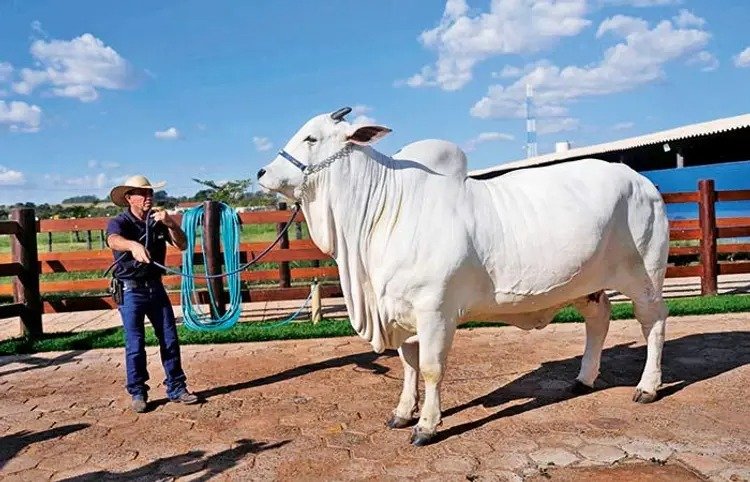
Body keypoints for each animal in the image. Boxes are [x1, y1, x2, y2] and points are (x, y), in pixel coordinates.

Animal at [257, 107, 669, 446]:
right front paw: (402, 413)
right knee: (599, 320)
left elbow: (431, 368)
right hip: (589, 286)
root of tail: (643, 182)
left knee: (653, 323)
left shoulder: (435, 311)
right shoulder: (402, 312)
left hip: (645, 278)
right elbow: (408, 364)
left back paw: (648, 387)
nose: (262, 172)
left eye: (311, 138)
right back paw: (584, 379)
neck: (383, 212)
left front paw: (426, 425)